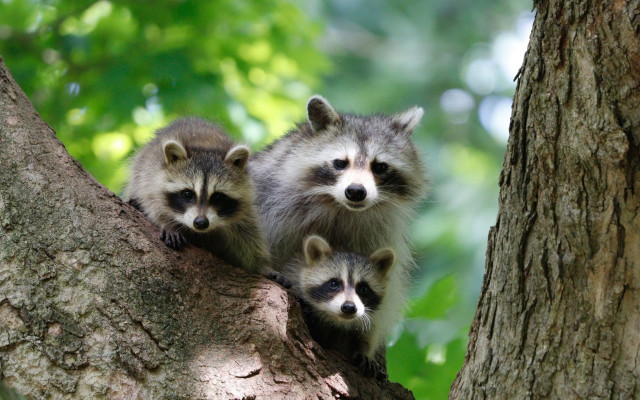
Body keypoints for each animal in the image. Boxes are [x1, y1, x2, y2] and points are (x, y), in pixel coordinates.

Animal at [124, 117, 275, 276]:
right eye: (187, 194)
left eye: (217, 197)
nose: (201, 223)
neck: (205, 146)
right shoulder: (151, 177)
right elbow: (152, 203)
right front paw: (167, 223)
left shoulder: (244, 204)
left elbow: (248, 232)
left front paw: (261, 265)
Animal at [248, 95, 428, 350]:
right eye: (340, 163)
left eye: (380, 167)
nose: (356, 192)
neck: (339, 206)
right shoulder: (269, 199)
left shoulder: (381, 232)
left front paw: (366, 340)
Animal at [284, 235, 395, 380]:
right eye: (334, 284)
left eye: (363, 289)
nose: (349, 307)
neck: (337, 320)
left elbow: (368, 334)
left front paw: (364, 351)